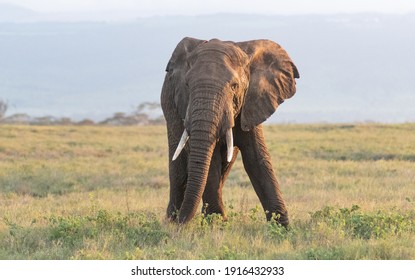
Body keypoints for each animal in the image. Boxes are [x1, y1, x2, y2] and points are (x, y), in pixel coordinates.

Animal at [161, 37, 300, 226]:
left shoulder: (251, 103)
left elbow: (256, 158)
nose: (181, 225)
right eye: (187, 85)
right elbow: (210, 161)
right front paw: (217, 224)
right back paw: (171, 221)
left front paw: (282, 227)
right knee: (180, 169)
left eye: (234, 86)